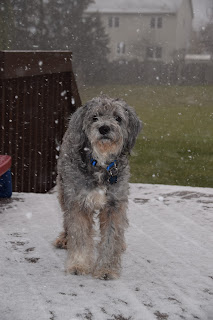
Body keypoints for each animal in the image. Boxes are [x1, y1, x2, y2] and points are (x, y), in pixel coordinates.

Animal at [54, 95, 141, 280]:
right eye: (95, 117)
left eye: (118, 118)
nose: (104, 128)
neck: (100, 163)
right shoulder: (78, 202)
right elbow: (79, 235)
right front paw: (78, 265)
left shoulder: (114, 205)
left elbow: (111, 237)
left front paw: (106, 269)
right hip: (63, 192)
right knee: (66, 219)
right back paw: (65, 238)